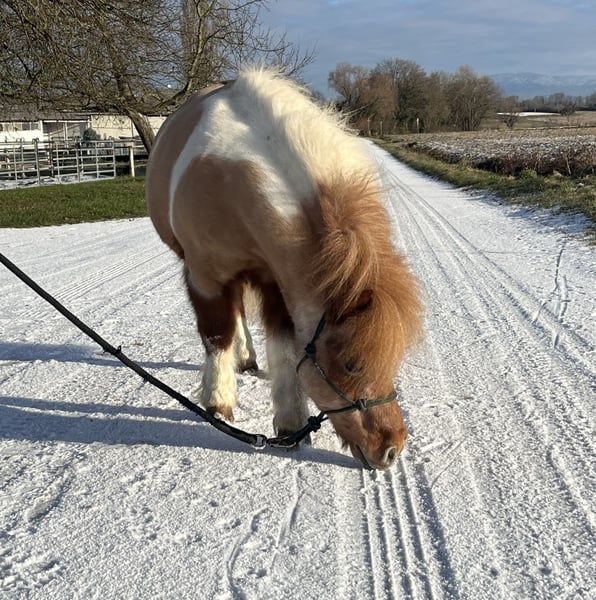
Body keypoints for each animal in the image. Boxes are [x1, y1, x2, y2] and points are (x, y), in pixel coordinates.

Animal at [146, 68, 421, 470]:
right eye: (352, 364)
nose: (392, 448)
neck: (230, 178)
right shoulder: (206, 278)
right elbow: (217, 336)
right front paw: (219, 404)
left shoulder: (276, 283)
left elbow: (284, 348)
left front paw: (290, 423)